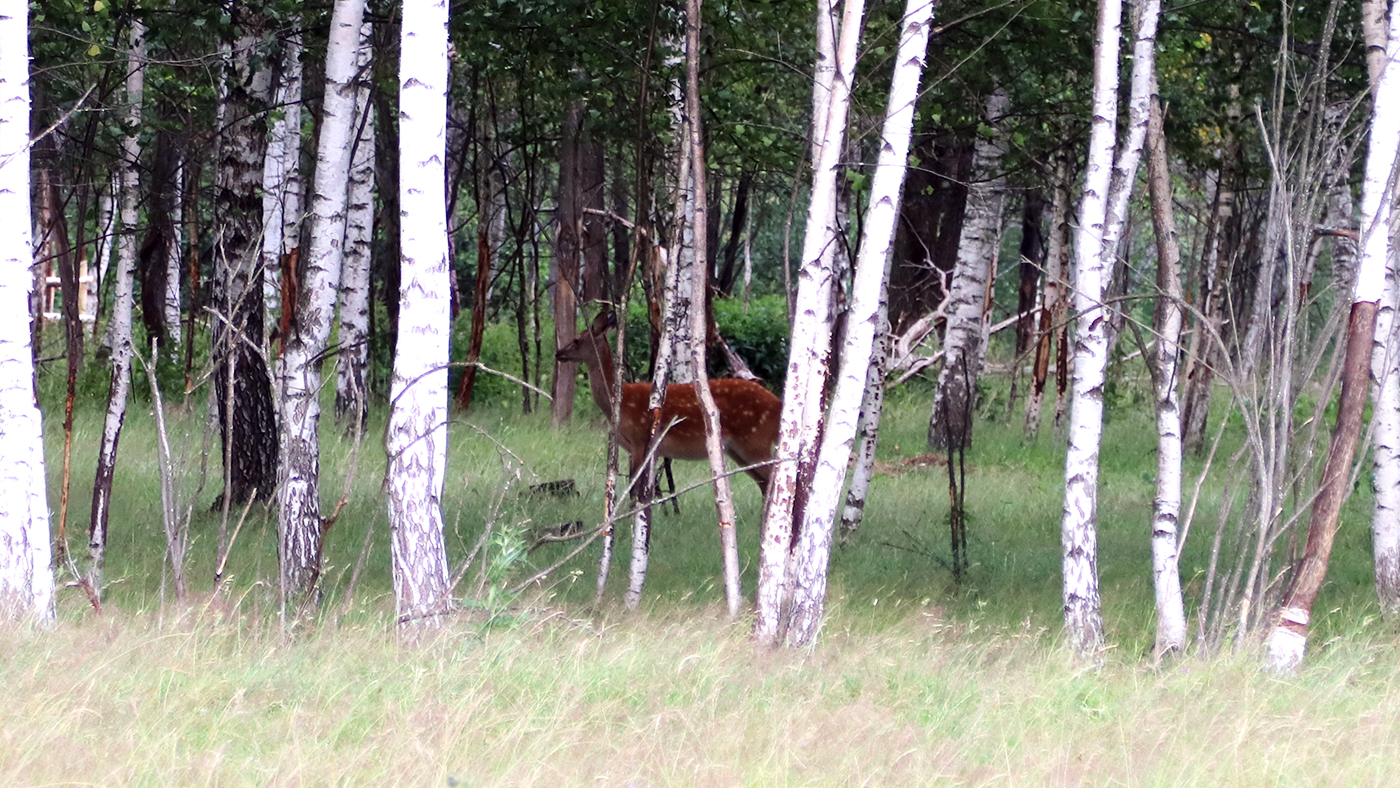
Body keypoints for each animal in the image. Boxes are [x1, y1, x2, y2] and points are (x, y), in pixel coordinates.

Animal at [551, 312, 784, 495]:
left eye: (576, 340)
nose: (558, 353)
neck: (619, 403)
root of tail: (777, 405)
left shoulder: (639, 439)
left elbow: (635, 489)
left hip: (754, 440)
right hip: (738, 449)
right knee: (765, 484)